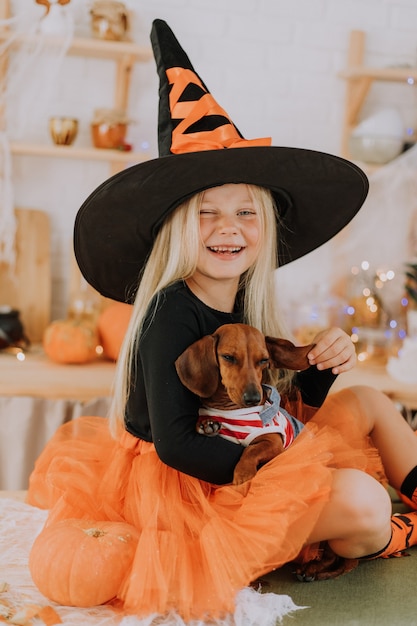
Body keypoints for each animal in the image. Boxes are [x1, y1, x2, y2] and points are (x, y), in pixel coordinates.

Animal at [174, 324, 314, 486]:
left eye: (264, 360)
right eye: (228, 357)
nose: (253, 398)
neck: (227, 407)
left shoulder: (273, 440)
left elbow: (251, 450)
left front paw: (243, 473)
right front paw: (206, 424)